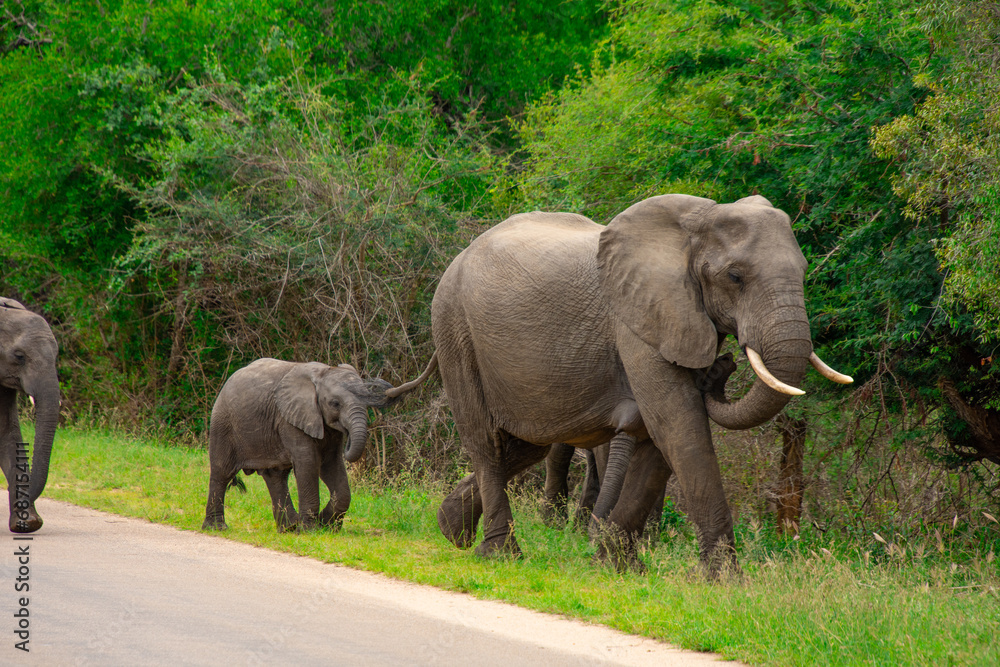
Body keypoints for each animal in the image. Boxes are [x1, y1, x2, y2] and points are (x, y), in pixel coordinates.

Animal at [202, 358, 396, 532]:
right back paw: (217, 528)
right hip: (223, 423)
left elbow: (331, 464)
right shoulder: (290, 419)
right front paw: (310, 530)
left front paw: (326, 526)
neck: (322, 373)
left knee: (275, 475)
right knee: (222, 472)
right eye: (335, 403)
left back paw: (289, 527)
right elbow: (308, 463)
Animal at [405, 194, 851, 574]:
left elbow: (659, 438)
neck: (697, 222)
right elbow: (677, 423)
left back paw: (451, 528)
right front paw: (723, 580)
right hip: (454, 327)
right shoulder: (638, 321)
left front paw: (615, 566)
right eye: (735, 276)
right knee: (485, 441)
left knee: (527, 444)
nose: (724, 365)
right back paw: (500, 554)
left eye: (804, 271)